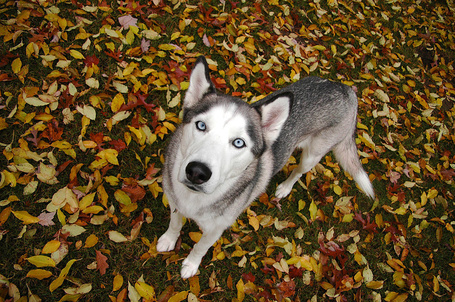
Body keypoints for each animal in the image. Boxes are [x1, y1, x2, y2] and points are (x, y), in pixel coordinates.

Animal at [157, 56, 374, 278]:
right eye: (201, 125)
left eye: (238, 143)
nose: (197, 172)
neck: (193, 200)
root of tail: (345, 88)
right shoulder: (174, 201)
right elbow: (175, 223)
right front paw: (169, 239)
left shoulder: (216, 229)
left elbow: (200, 247)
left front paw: (191, 264)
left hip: (312, 156)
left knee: (298, 171)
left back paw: (285, 187)